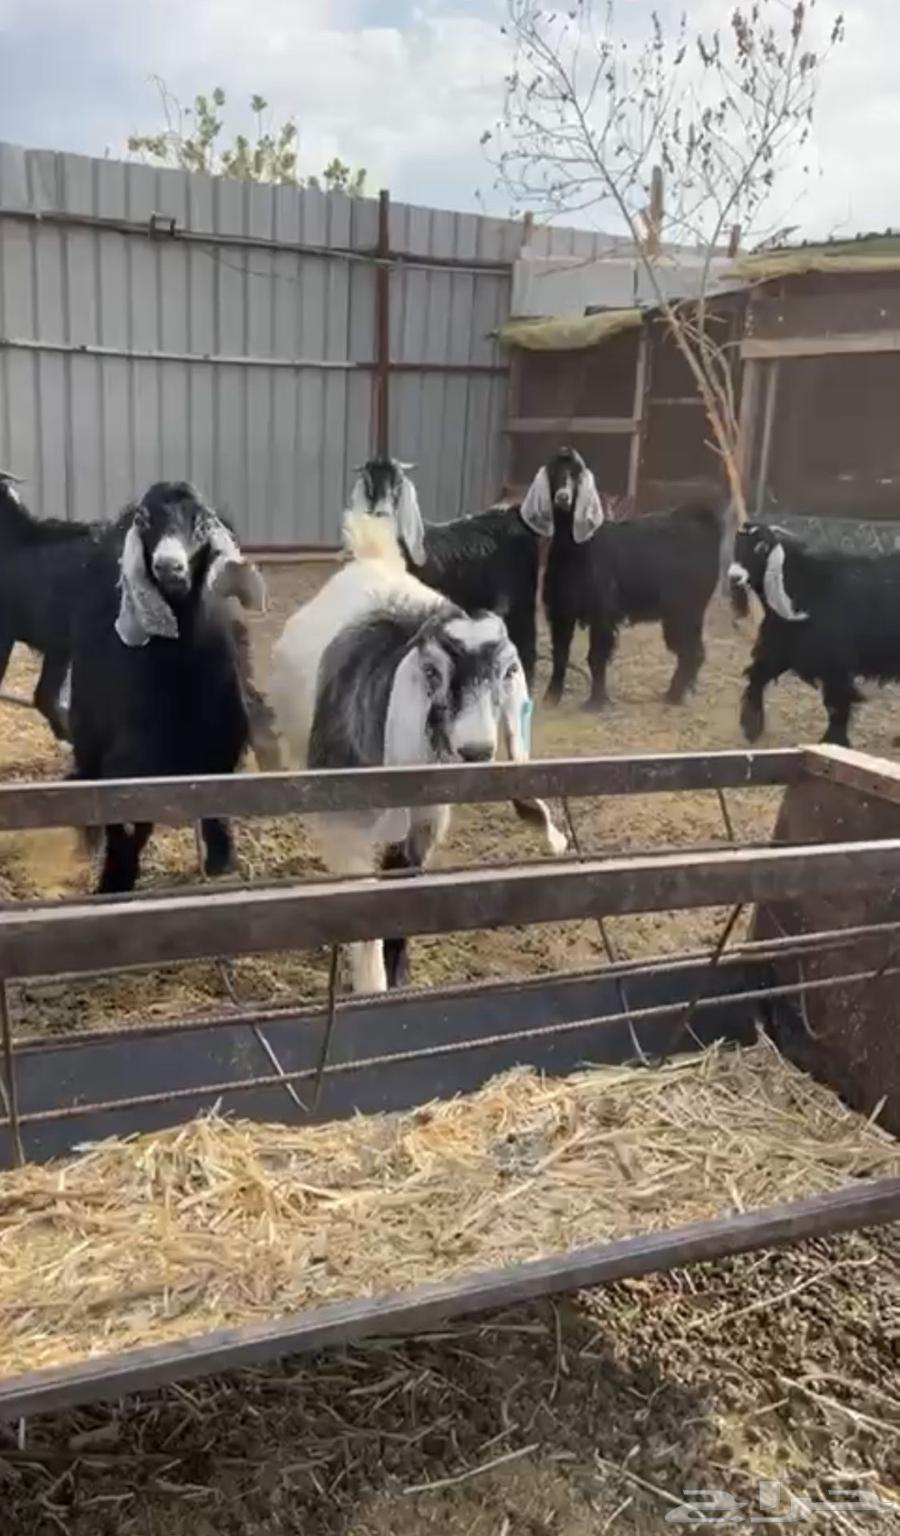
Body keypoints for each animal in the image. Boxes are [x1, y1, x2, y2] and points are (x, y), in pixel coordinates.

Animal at [68, 481, 266, 893]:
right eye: (145, 520)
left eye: (203, 524)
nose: (169, 566)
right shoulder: (128, 761)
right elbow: (127, 824)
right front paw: (114, 882)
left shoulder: (220, 744)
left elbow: (216, 799)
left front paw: (221, 859)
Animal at [269, 509, 567, 995]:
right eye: (432, 672)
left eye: (508, 673)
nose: (477, 750)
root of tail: (372, 555)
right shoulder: (345, 826)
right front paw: (371, 987)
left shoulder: (425, 821)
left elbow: (403, 888)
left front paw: (399, 978)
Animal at [521, 447, 734, 709]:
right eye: (553, 473)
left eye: (577, 475)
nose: (563, 497)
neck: (578, 548)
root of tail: (703, 521)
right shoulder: (561, 611)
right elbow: (560, 654)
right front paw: (551, 697)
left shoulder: (602, 613)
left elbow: (596, 656)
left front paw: (596, 702)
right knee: (693, 650)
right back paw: (676, 693)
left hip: (685, 610)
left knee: (691, 651)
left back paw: (673, 696)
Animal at [728, 521, 900, 747]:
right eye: (737, 543)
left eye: (762, 547)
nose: (734, 576)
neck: (805, 588)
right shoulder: (780, 650)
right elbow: (757, 676)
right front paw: (752, 727)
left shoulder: (836, 667)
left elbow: (837, 706)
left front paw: (833, 743)